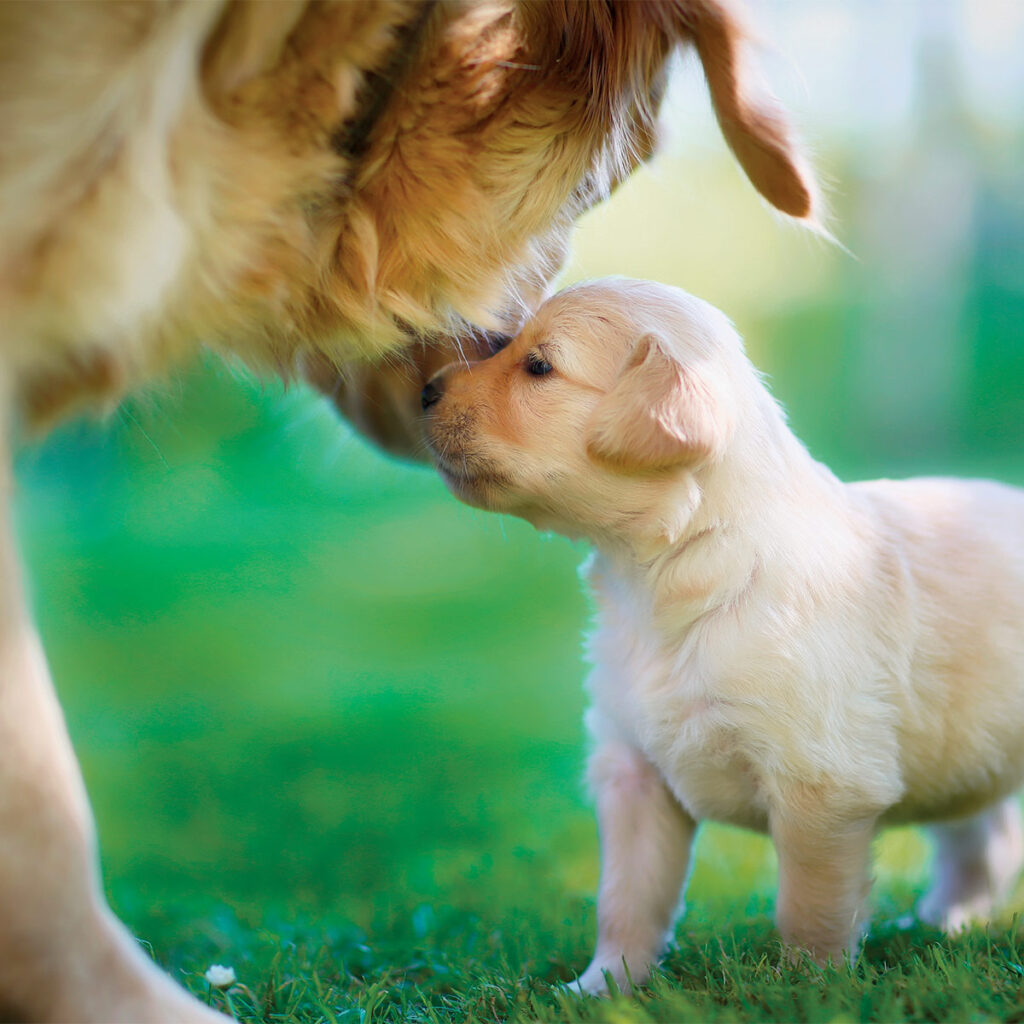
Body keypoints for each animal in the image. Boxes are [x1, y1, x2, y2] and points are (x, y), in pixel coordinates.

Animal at [419, 278, 1024, 991]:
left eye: (539, 366)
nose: (424, 390)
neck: (671, 573)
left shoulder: (822, 786)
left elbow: (810, 909)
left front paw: (810, 988)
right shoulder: (634, 771)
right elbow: (626, 899)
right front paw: (603, 986)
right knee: (982, 838)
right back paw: (943, 921)